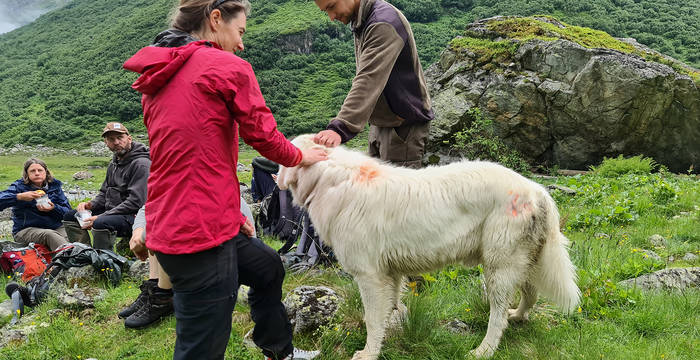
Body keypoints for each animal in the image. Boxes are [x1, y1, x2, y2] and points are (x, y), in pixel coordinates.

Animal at [278, 134, 580, 358]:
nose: (275, 176)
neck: (329, 179)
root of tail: (536, 189)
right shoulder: (390, 273)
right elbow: (388, 309)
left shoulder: (369, 275)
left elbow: (373, 318)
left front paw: (368, 353)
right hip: (522, 259)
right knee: (530, 293)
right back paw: (517, 315)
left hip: (498, 266)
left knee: (497, 315)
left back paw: (483, 350)